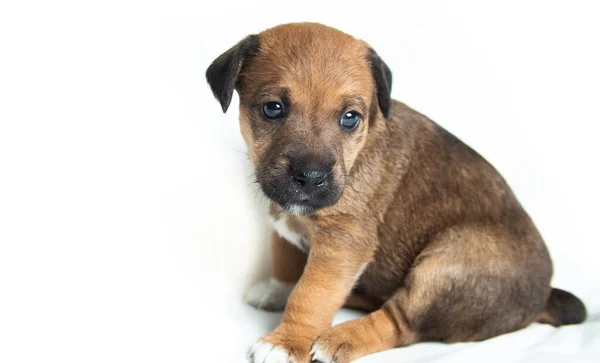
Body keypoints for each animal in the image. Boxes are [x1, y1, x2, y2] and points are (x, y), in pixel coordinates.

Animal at [205, 23, 584, 363]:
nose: (311, 178)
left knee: (399, 323)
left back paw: (339, 337)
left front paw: (286, 342)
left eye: (350, 118)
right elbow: (285, 256)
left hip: (447, 264)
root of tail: (541, 298)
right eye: (272, 108)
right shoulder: (287, 223)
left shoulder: (343, 243)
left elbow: (311, 293)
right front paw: (277, 288)